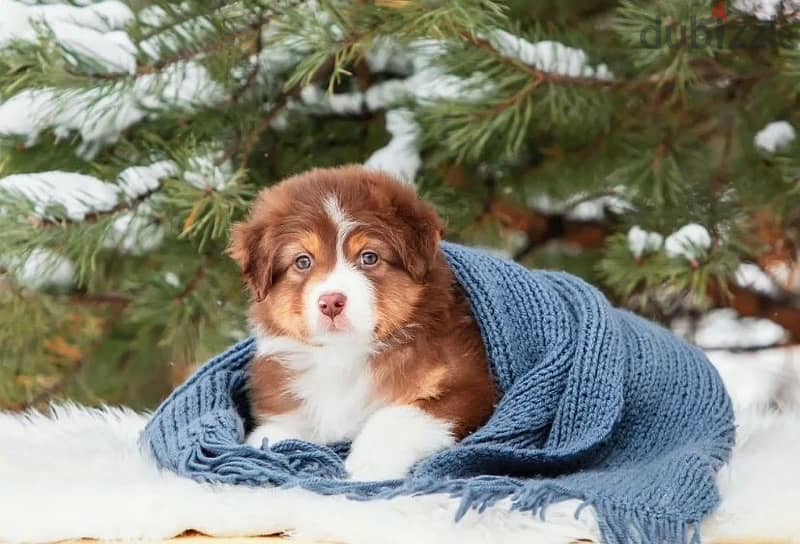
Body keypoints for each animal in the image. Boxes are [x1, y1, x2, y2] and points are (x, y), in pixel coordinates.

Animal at [228, 166, 496, 480]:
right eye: (303, 262)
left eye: (369, 257)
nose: (331, 302)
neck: (345, 356)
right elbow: (269, 434)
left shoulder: (472, 386)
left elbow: (398, 414)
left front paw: (369, 464)